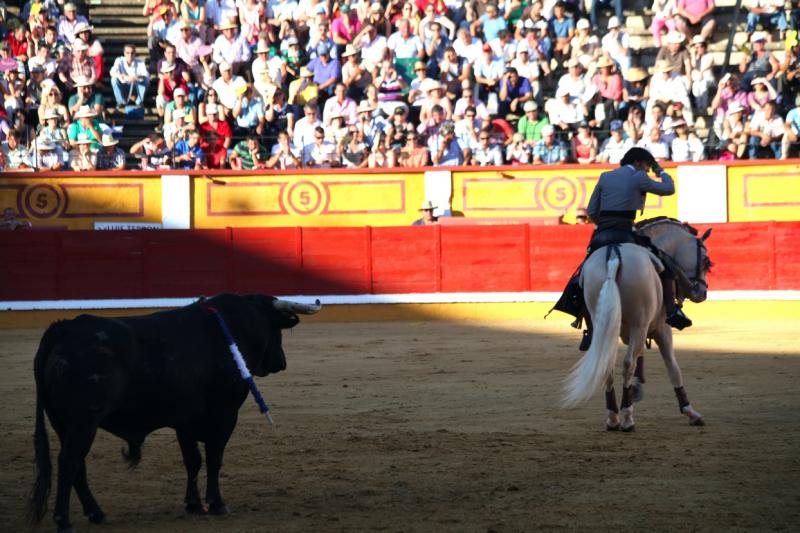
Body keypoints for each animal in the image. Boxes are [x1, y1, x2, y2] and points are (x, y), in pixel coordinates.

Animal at [28, 294, 322, 528]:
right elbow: (214, 458)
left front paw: (194, 505)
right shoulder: (225, 413)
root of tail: (63, 329)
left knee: (77, 465)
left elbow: (193, 460)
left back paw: (97, 514)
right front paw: (217, 504)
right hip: (83, 422)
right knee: (69, 462)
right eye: (276, 329)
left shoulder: (185, 420)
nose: (282, 362)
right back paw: (63, 520)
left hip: (63, 423)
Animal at [564, 218, 712, 430]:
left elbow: (639, 354)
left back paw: (613, 418)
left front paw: (636, 387)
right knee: (627, 363)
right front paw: (690, 412)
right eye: (707, 262)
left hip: (604, 325)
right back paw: (627, 418)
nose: (702, 292)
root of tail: (614, 255)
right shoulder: (661, 328)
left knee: (608, 364)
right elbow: (673, 368)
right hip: (640, 324)